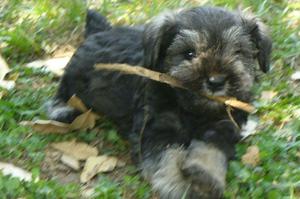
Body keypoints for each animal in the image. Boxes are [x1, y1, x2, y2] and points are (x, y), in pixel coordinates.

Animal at [46, 7, 272, 198]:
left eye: (238, 52)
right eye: (189, 53)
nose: (216, 81)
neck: (193, 110)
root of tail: (98, 31)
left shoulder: (223, 125)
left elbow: (211, 149)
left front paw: (204, 178)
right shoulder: (156, 129)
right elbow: (167, 158)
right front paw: (179, 186)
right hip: (73, 77)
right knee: (61, 94)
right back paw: (62, 111)